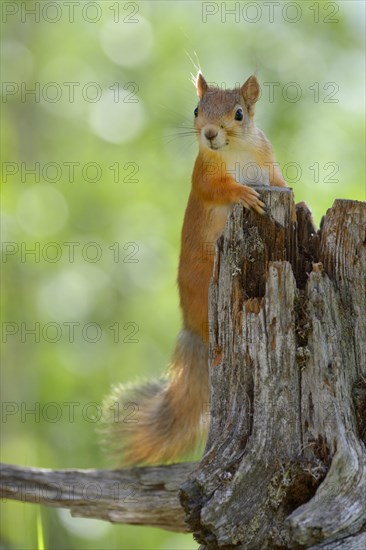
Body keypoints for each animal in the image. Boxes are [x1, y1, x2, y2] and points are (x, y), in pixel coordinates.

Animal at [102, 71, 286, 464]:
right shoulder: (205, 175)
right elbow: (217, 189)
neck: (236, 150)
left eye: (239, 114)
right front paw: (243, 194)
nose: (210, 134)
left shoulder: (270, 164)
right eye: (197, 110)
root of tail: (193, 325)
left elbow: (280, 182)